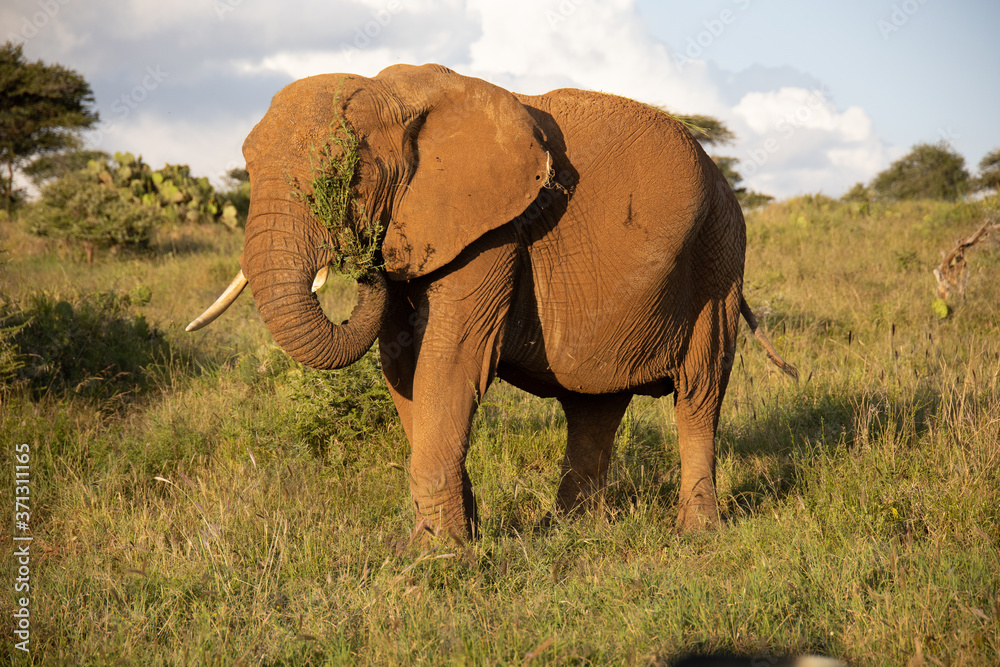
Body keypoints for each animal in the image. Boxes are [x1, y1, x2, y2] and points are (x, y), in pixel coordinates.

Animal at [188, 63, 796, 540]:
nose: (365, 256)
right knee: (593, 402)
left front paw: (436, 557)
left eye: (344, 171)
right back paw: (569, 531)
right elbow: (404, 367)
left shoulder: (492, 228)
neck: (398, 99)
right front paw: (455, 535)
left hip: (719, 254)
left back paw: (696, 534)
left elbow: (447, 363)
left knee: (698, 391)